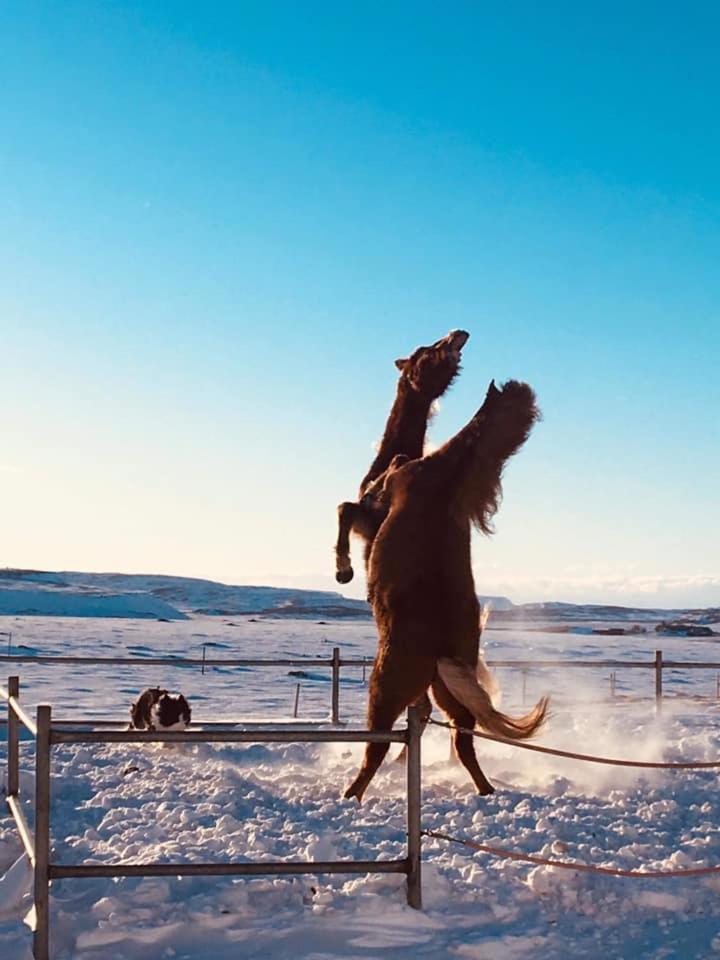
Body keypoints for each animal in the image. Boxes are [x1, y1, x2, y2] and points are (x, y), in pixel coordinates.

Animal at [346, 378, 548, 800]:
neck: (442, 477)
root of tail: (440, 652)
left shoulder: (390, 486)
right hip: (452, 700)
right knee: (463, 744)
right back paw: (486, 791)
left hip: (385, 693)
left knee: (377, 746)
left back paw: (350, 796)